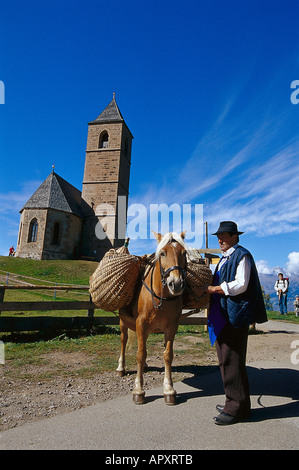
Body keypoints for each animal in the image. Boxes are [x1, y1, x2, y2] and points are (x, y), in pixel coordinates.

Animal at [116, 231, 188, 404]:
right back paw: (121, 368)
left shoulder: (171, 327)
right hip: (123, 323)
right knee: (123, 341)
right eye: (162, 253)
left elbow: (167, 355)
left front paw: (169, 389)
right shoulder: (141, 324)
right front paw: (138, 390)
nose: (176, 284)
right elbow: (140, 355)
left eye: (184, 253)